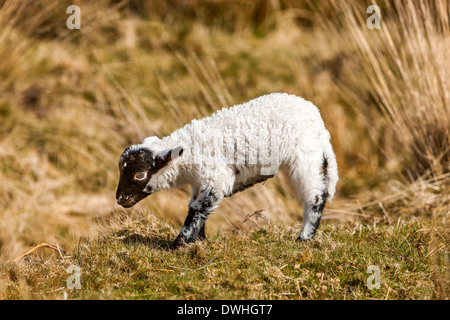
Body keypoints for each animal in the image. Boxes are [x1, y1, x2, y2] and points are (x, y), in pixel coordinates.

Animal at [116, 92, 338, 248]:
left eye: (140, 174)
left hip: (305, 155)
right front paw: (199, 240)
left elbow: (197, 210)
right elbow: (197, 207)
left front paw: (178, 244)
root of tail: (318, 122)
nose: (120, 199)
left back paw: (304, 238)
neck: (189, 152)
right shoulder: (200, 182)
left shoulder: (215, 178)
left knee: (315, 195)